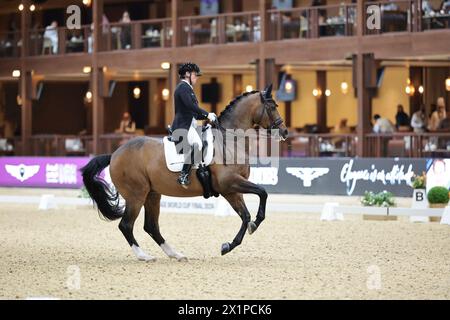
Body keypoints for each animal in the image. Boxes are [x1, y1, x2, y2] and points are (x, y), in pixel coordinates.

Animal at [81, 84, 288, 262]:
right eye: (272, 106)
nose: (284, 131)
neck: (229, 140)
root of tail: (115, 154)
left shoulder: (230, 190)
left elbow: (245, 216)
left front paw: (229, 245)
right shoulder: (229, 183)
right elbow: (262, 193)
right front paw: (251, 226)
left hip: (152, 194)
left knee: (151, 226)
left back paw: (176, 254)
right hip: (136, 195)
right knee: (126, 225)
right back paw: (144, 256)